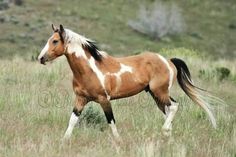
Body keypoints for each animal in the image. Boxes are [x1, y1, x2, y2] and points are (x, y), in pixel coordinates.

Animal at [37, 24, 217, 140]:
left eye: (54, 41)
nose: (41, 58)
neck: (89, 70)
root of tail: (168, 61)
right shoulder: (81, 99)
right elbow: (73, 120)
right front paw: (64, 140)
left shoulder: (104, 100)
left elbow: (111, 121)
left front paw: (118, 142)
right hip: (156, 94)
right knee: (168, 110)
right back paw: (167, 137)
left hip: (160, 92)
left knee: (173, 106)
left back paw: (164, 131)